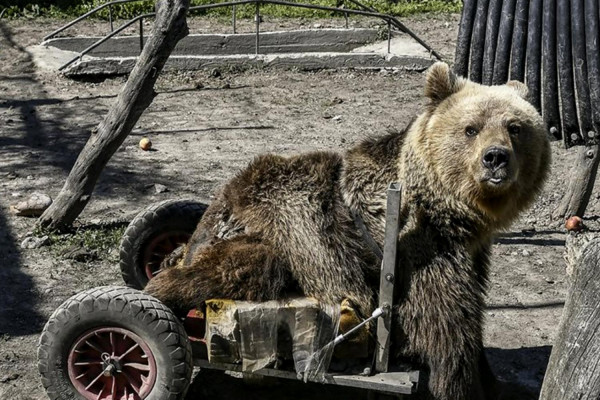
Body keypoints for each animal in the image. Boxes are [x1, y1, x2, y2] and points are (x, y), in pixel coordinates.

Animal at [144, 62, 548, 400]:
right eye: (471, 128)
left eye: (515, 127)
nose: (495, 158)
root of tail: (210, 219)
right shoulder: (420, 250)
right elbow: (446, 330)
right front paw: (461, 385)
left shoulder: (470, 252)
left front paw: (492, 381)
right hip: (276, 232)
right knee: (238, 269)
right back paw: (160, 291)